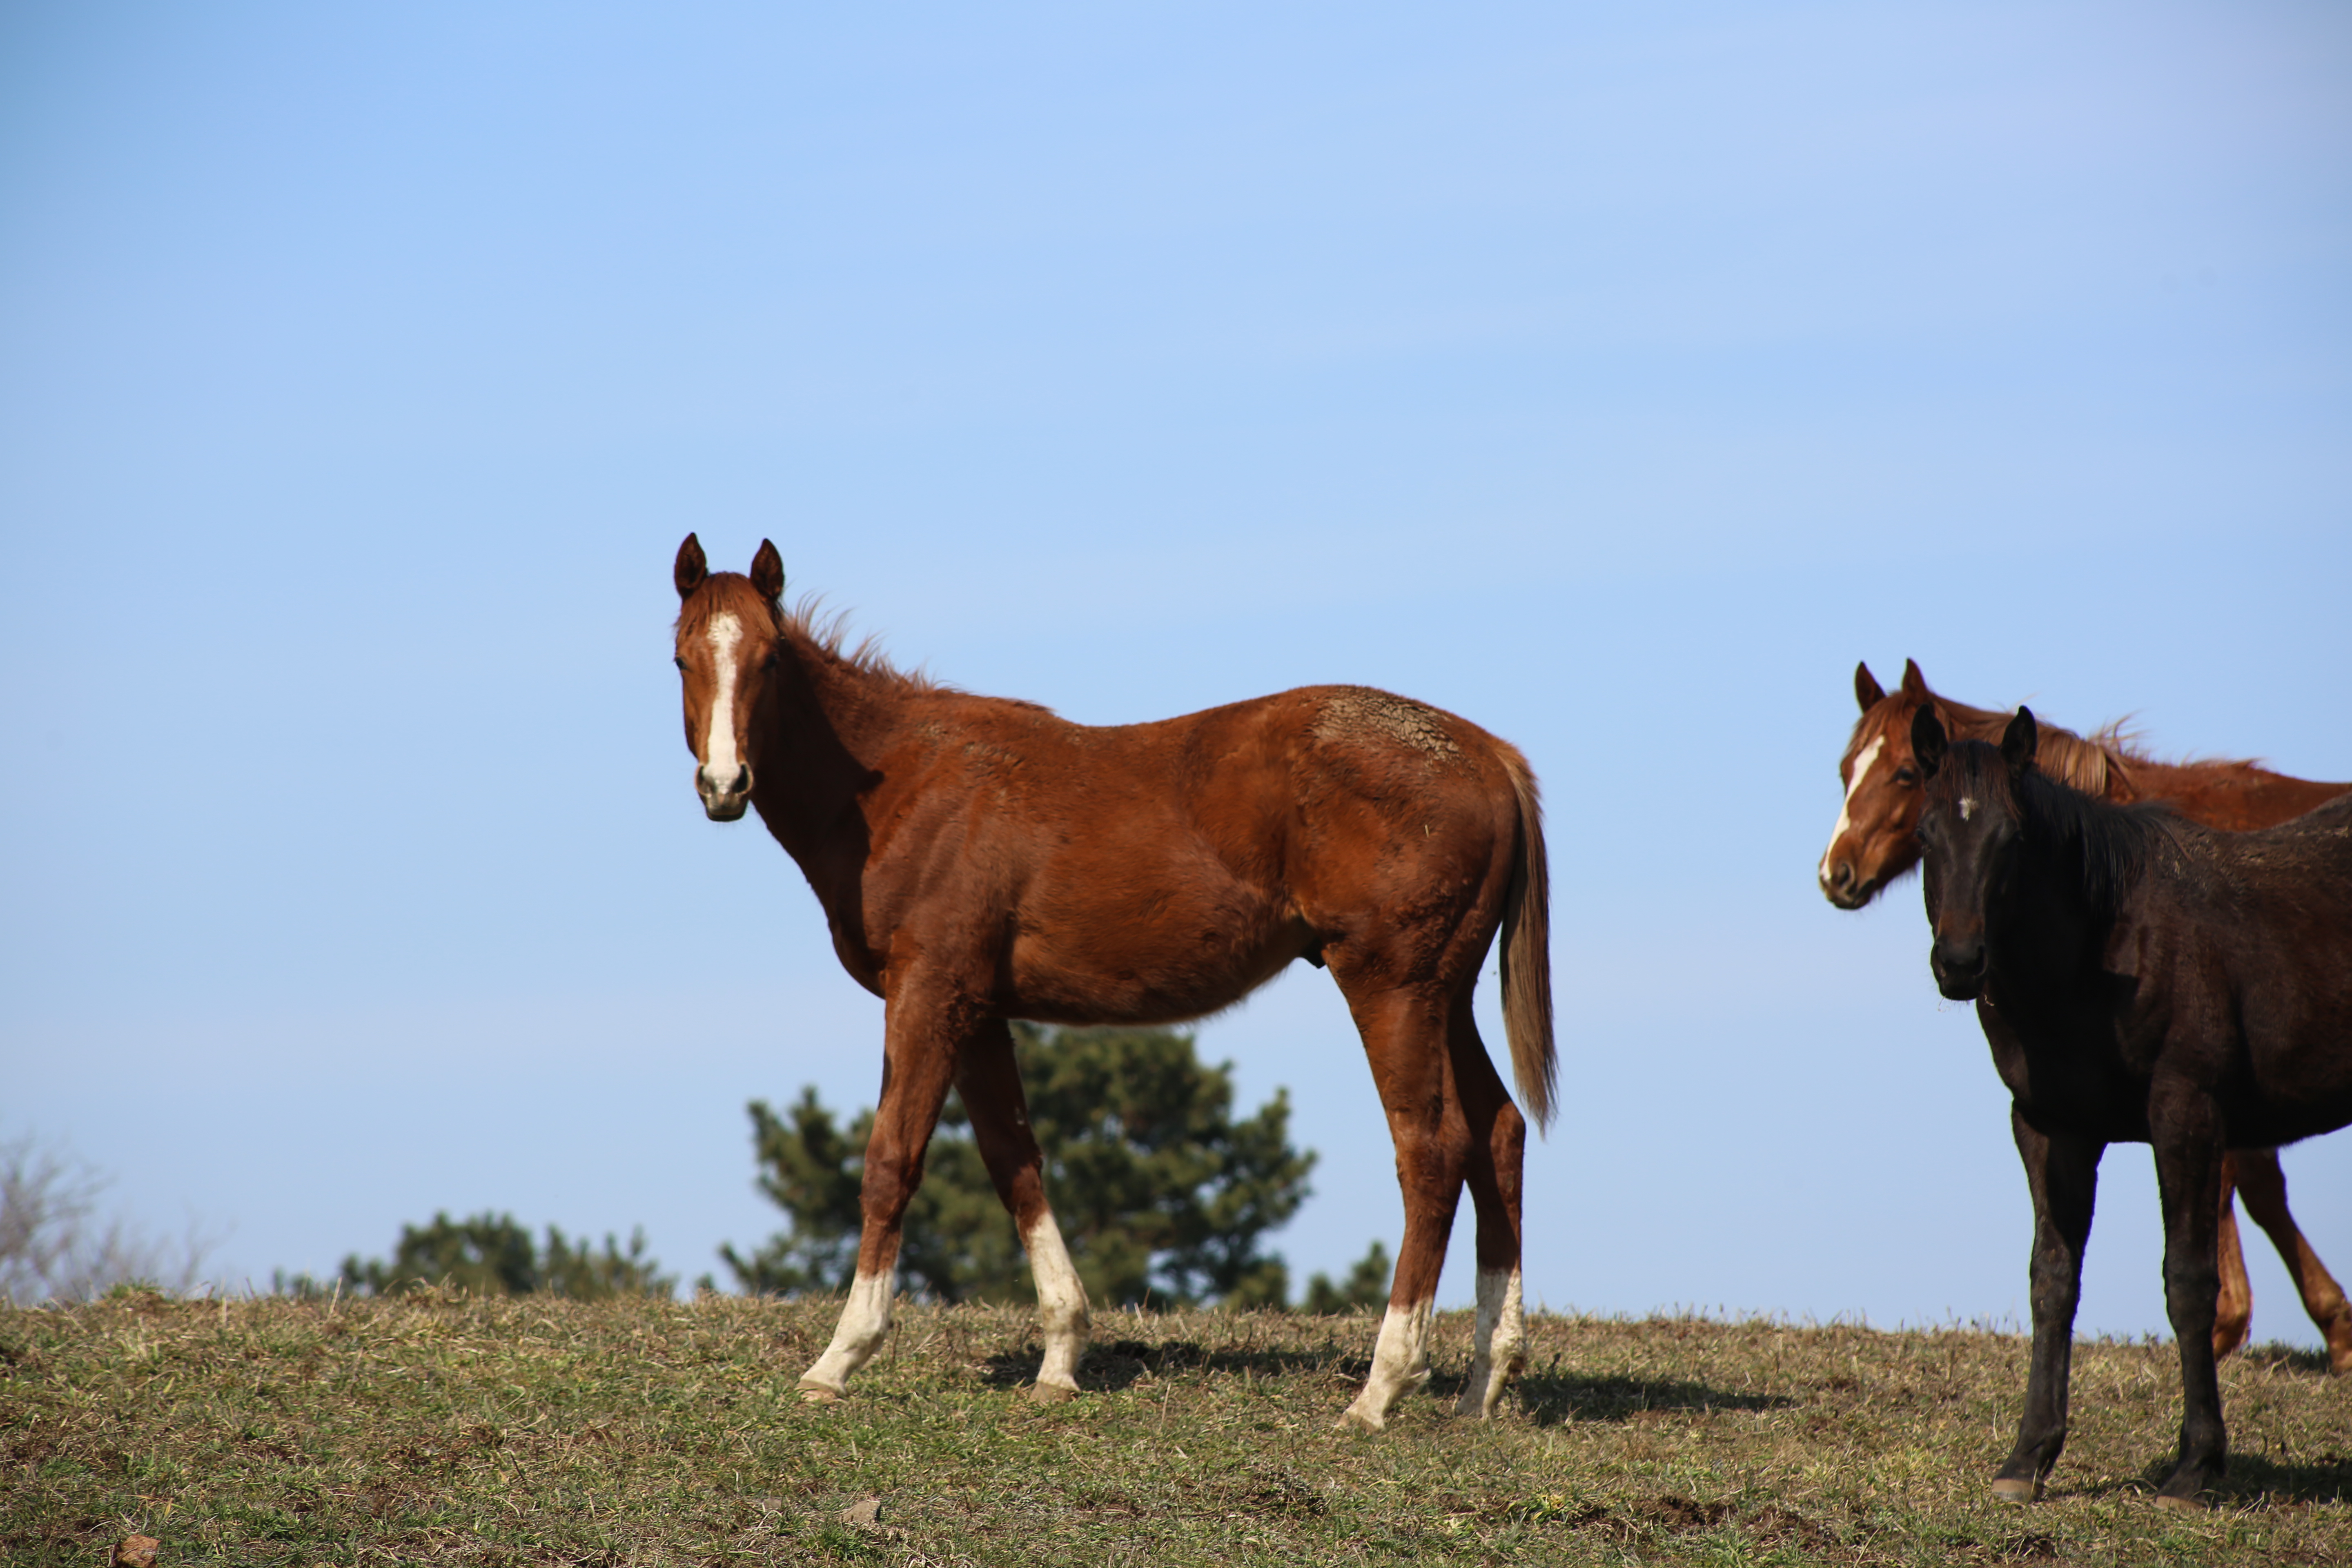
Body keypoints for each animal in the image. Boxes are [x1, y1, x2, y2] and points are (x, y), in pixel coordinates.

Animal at [673, 541, 1552, 1439]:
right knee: (1499, 1133)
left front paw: (839, 1358)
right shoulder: (979, 1012)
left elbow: (893, 1159)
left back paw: (1382, 1387)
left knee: (1432, 1151)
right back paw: (1486, 1382)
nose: (724, 785)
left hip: (1391, 987)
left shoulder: (928, 994)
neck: (902, 785)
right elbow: (1015, 1161)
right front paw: (1061, 1358)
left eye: (770, 661)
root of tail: (1489, 755)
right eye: (682, 659)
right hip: (1446, 994)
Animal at [1815, 658, 2352, 1373]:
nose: (1836, 873)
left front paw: (2236, 1325)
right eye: (1847, 770)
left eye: (1904, 773)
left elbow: (2236, 1185)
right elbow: (2258, 1185)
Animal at [1910, 710, 2352, 1504]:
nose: (1960, 964)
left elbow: (2189, 1279)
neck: (2105, 950)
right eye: (1927, 834)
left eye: (2010, 838)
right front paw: (2028, 1457)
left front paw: (2197, 1463)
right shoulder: (2050, 1128)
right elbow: (2052, 1280)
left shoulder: (2186, 1114)